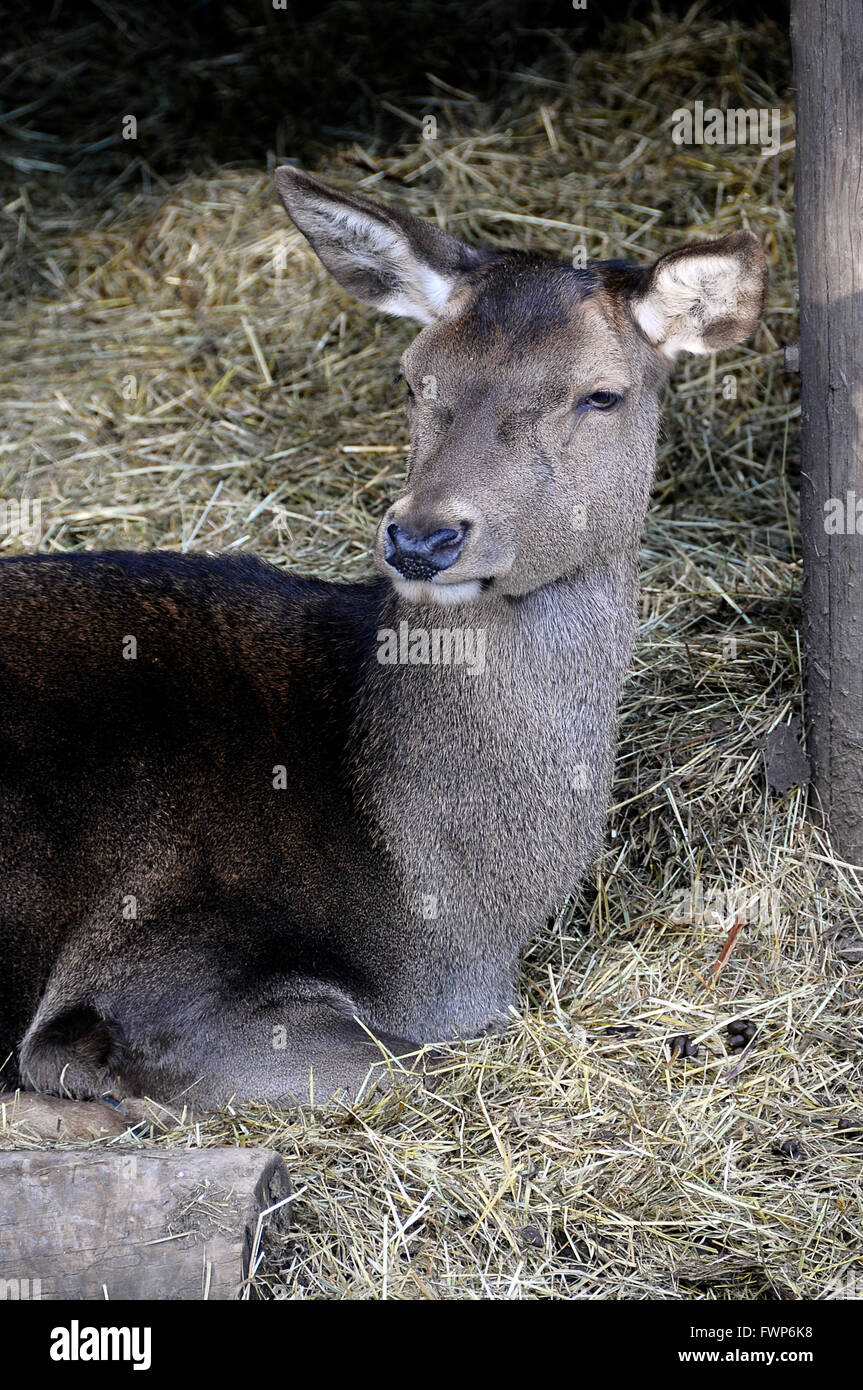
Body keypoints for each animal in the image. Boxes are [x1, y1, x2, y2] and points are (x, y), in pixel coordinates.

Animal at [0, 168, 766, 1133]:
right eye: (411, 380)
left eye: (601, 394)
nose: (423, 537)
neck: (442, 919)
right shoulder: (152, 963)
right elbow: (415, 1065)